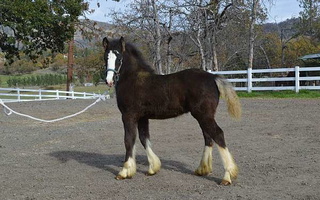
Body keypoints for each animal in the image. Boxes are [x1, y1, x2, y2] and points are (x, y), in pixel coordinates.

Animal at [102, 36, 240, 185]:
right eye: (105, 57)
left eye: (119, 57)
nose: (109, 80)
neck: (133, 79)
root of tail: (213, 77)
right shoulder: (142, 117)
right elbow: (144, 138)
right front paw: (153, 168)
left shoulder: (128, 116)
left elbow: (129, 140)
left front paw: (124, 171)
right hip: (204, 116)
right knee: (208, 138)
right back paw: (202, 169)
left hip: (204, 116)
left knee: (218, 135)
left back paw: (227, 176)